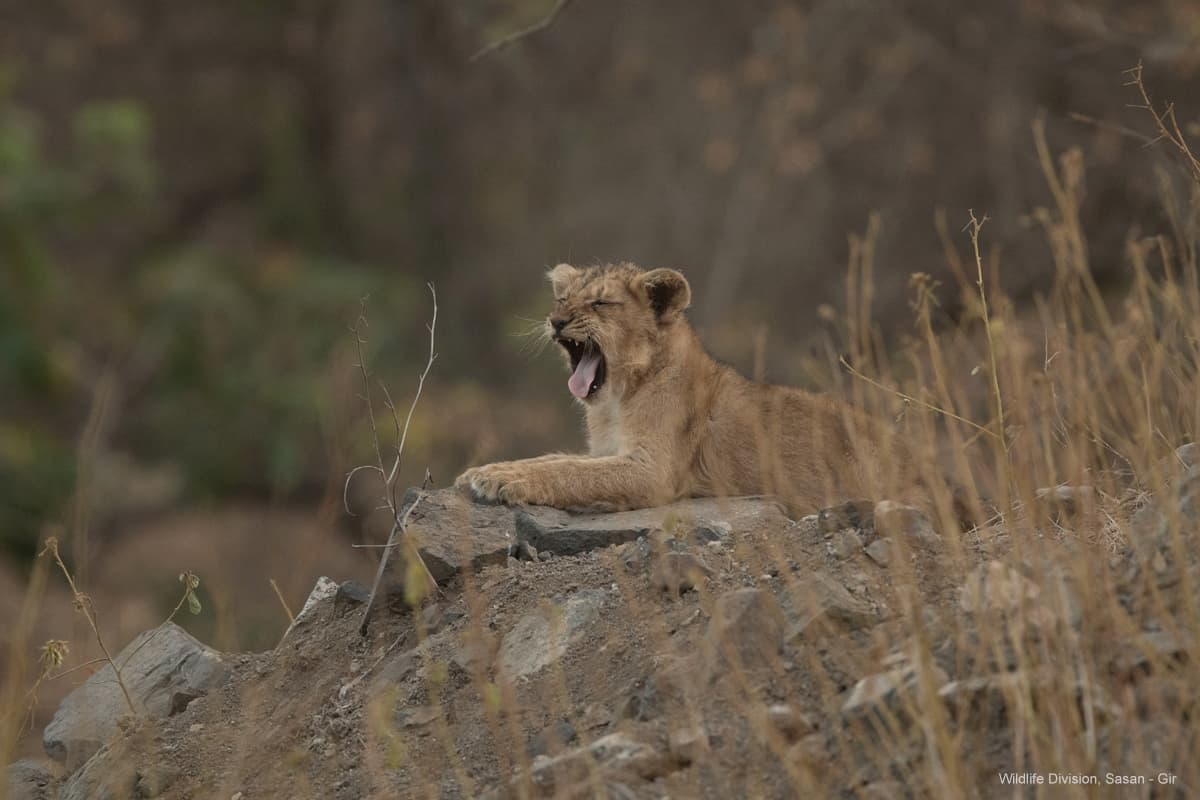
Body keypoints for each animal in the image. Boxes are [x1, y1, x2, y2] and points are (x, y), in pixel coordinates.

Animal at [455, 262, 967, 525]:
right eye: (562, 300)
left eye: (600, 303)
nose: (557, 320)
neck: (617, 399)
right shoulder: (609, 451)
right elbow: (558, 460)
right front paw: (489, 471)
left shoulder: (655, 471)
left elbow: (569, 472)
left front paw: (498, 480)